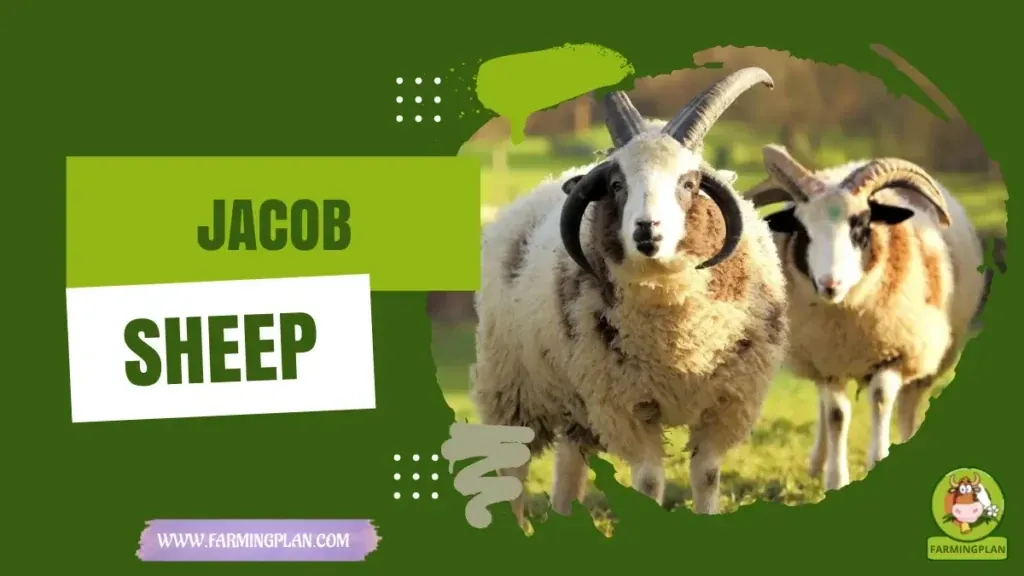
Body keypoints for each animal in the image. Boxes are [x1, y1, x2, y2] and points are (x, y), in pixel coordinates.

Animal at [470, 67, 788, 525]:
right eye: (618, 184)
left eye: (689, 183)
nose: (646, 230)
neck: (678, 342)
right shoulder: (628, 406)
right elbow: (650, 481)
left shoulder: (726, 404)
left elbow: (707, 475)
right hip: (511, 387)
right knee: (513, 466)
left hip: (578, 400)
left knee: (570, 463)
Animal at [744, 144, 989, 491]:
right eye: (801, 230)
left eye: (860, 225)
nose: (830, 284)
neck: (847, 319)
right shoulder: (826, 361)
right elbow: (836, 415)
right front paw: (835, 479)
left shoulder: (896, 352)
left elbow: (882, 399)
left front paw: (878, 460)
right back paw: (817, 463)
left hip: (932, 354)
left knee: (908, 405)